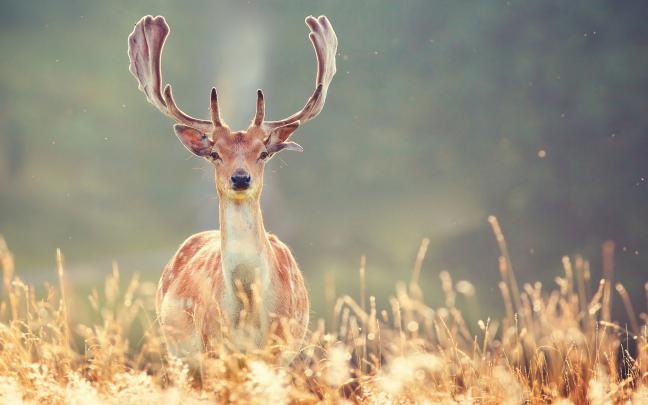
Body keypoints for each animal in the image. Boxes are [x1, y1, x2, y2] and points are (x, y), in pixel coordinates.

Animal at [127, 14, 336, 360]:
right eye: (215, 153)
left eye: (263, 153)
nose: (240, 178)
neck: (248, 306)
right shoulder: (213, 345)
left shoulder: (281, 348)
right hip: (176, 351)